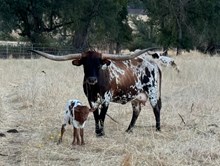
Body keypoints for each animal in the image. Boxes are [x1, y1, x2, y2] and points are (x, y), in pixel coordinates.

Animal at [30, 49, 162, 136]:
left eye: (99, 64)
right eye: (85, 64)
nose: (92, 79)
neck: (95, 87)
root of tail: (153, 63)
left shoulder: (106, 99)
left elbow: (102, 115)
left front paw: (101, 132)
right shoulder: (91, 99)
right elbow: (95, 115)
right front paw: (97, 131)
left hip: (153, 92)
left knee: (156, 109)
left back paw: (158, 128)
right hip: (135, 96)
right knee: (136, 111)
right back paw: (128, 130)